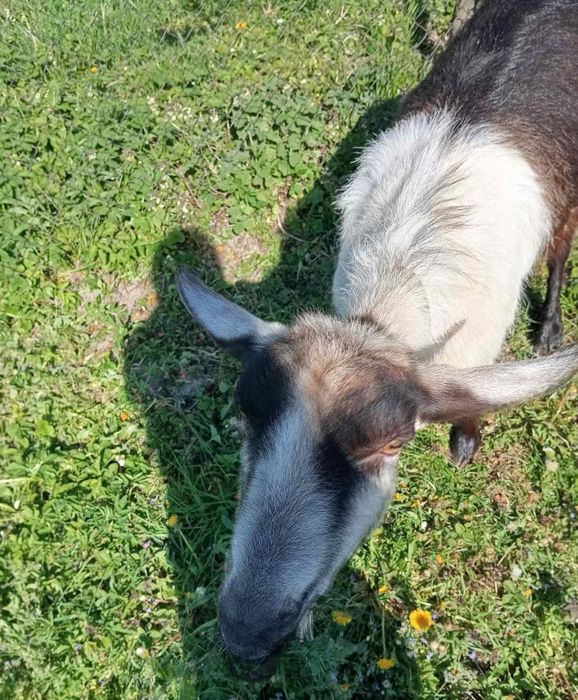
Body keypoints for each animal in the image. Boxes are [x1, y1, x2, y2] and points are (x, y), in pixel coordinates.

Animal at [176, 0, 578, 668]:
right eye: (243, 416)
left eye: (392, 444)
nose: (247, 634)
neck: (399, 278)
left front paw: (466, 442)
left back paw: (548, 328)